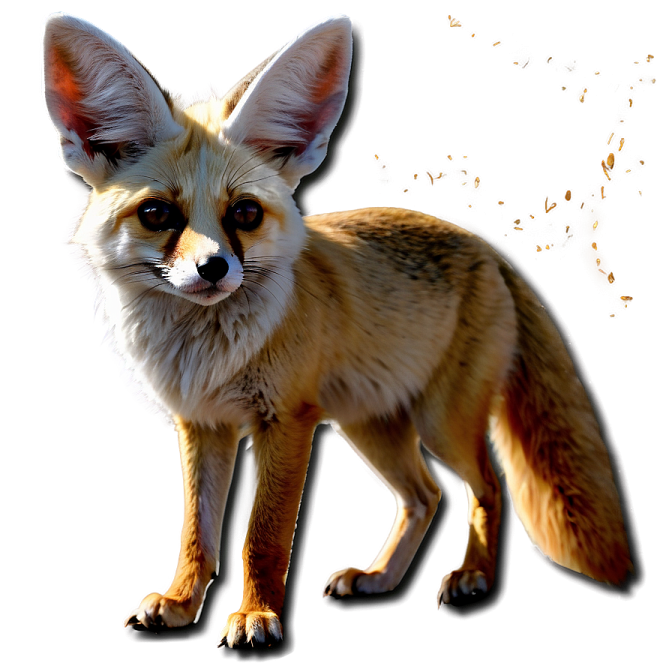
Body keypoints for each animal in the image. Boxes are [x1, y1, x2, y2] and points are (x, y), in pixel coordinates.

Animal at [40, 11, 636, 653]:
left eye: (244, 214)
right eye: (157, 215)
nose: (214, 268)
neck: (208, 355)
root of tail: (481, 242)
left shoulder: (287, 421)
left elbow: (263, 538)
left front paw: (255, 617)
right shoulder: (203, 425)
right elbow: (197, 534)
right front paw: (180, 604)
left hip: (441, 422)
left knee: (486, 490)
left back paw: (471, 574)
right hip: (370, 427)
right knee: (429, 496)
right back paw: (379, 579)